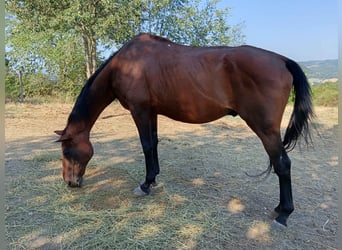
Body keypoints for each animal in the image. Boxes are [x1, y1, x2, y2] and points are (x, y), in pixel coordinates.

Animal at [54, 32, 314, 227]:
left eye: (67, 151)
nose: (70, 182)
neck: (127, 64)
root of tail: (281, 59)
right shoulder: (152, 112)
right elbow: (154, 144)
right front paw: (153, 179)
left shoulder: (140, 111)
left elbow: (146, 146)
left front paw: (145, 185)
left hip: (266, 129)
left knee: (282, 164)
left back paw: (283, 214)